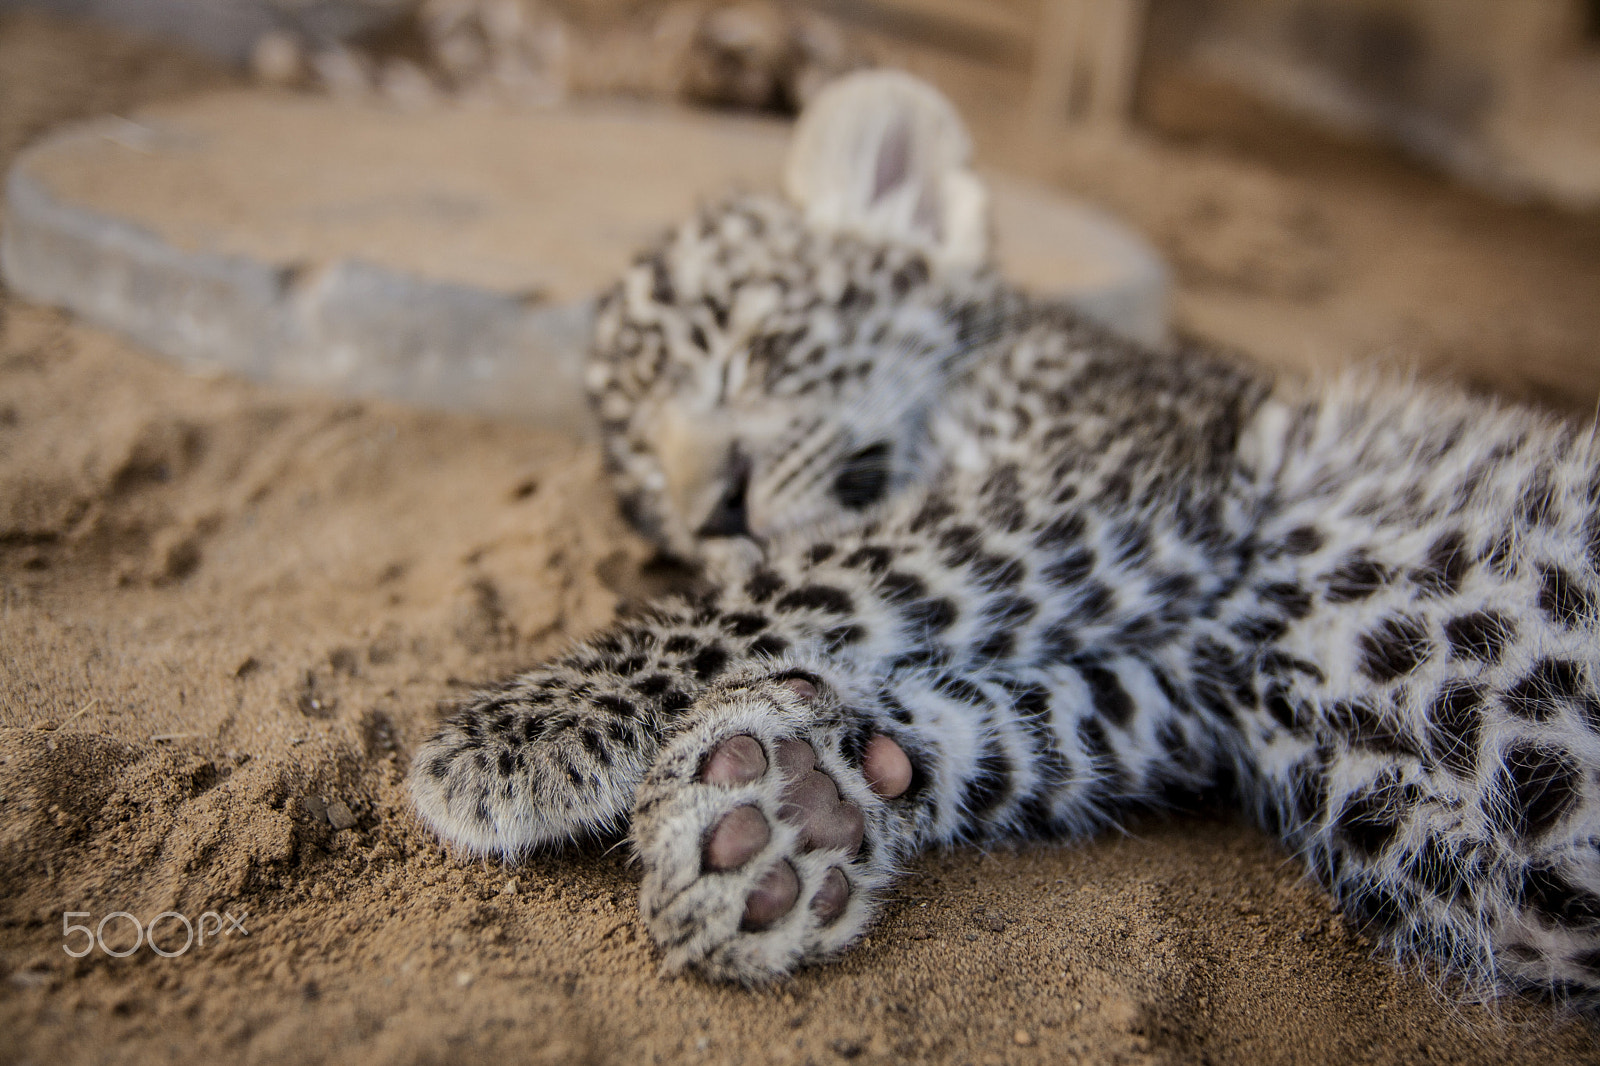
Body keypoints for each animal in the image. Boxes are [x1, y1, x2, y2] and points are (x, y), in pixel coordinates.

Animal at [409, 71, 1600, 1007]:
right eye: (650, 492)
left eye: (748, 344)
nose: (717, 509)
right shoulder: (1175, 692)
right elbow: (1005, 728)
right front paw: (794, 803)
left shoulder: (1123, 479)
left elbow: (827, 579)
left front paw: (526, 731)